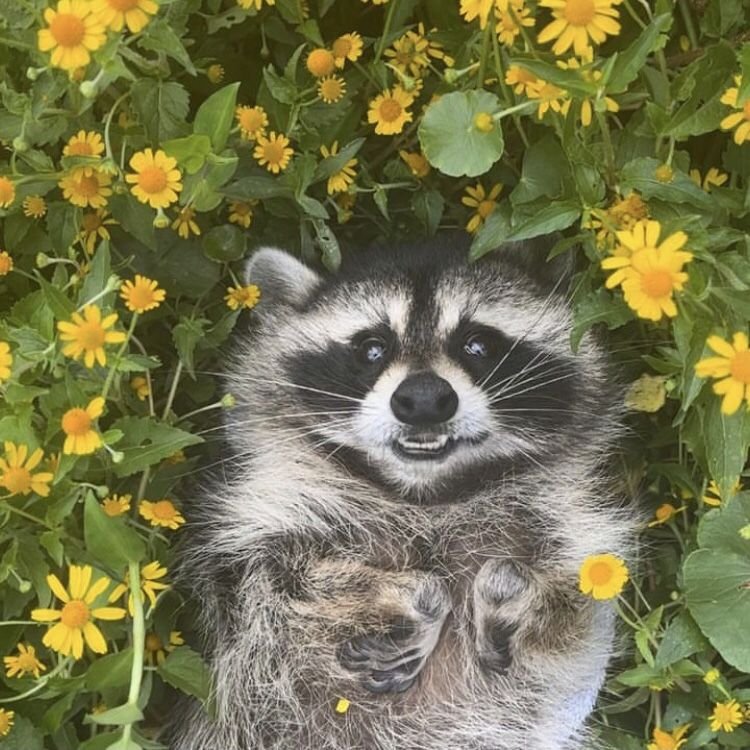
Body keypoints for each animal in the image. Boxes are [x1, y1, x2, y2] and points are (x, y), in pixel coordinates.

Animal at [171, 233, 637, 750]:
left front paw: (513, 594)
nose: (424, 399)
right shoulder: (258, 531)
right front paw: (417, 597)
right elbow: (281, 577)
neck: (425, 493)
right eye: (372, 348)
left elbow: (575, 614)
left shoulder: (568, 529)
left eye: (477, 344)